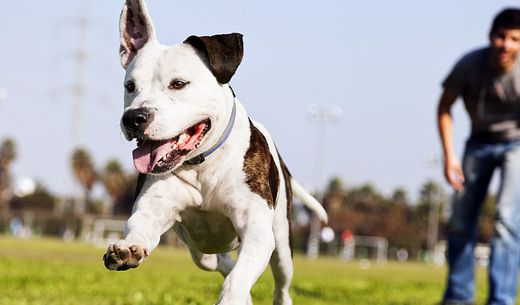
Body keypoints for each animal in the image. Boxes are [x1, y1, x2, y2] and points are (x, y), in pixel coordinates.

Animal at [103, 1, 328, 302]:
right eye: (130, 86)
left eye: (178, 83)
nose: (134, 118)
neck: (201, 164)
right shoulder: (153, 207)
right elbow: (141, 225)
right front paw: (128, 249)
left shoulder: (256, 229)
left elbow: (239, 276)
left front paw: (231, 297)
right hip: (201, 250)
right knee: (218, 262)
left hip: (282, 243)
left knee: (280, 282)